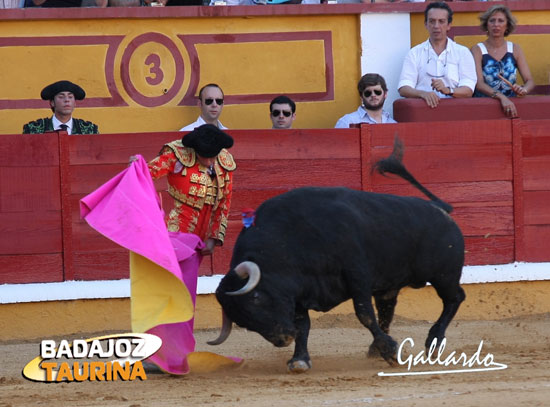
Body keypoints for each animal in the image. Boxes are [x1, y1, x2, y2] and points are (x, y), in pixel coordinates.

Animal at [209, 143, 468, 372]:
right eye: (242, 321)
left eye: (256, 298)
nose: (283, 338)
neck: (287, 242)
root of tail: (440, 207)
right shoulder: (298, 293)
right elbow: (304, 324)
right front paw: (300, 359)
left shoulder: (357, 276)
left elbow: (364, 314)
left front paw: (391, 353)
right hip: (392, 284)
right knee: (388, 308)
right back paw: (376, 349)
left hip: (444, 275)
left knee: (454, 298)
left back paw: (433, 342)